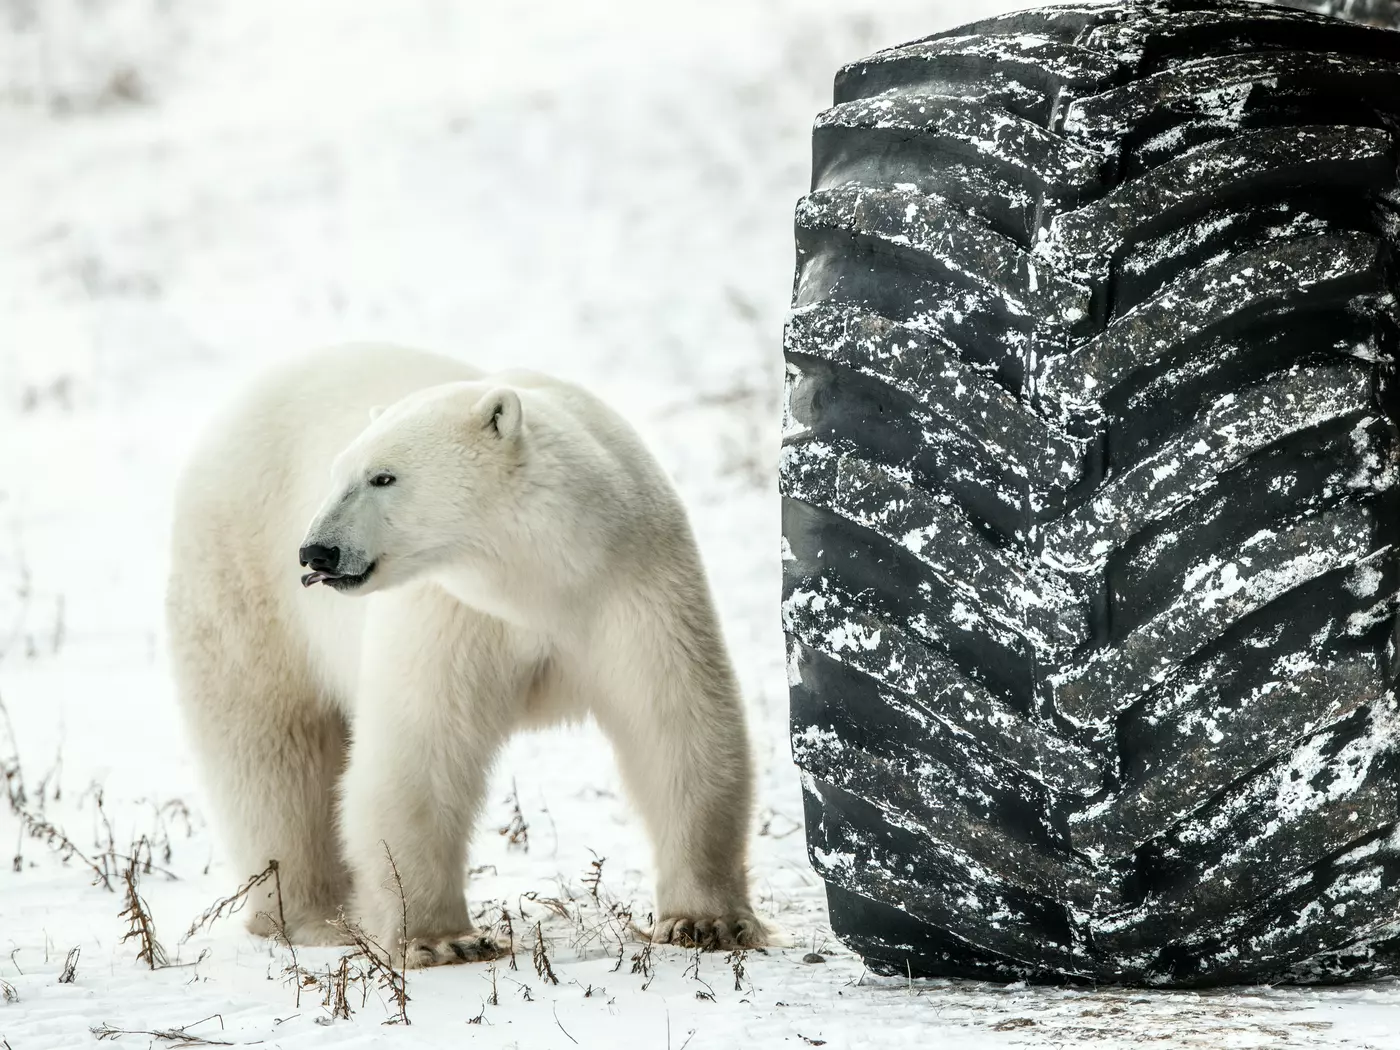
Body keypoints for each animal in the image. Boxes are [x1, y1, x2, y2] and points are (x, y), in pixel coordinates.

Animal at [166, 343, 763, 966]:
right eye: (337, 475)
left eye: (383, 476)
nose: (317, 552)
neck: (542, 581)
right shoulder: (453, 611)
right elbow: (423, 750)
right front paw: (440, 939)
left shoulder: (631, 583)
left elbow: (675, 725)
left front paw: (706, 922)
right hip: (244, 578)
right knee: (274, 748)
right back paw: (315, 915)